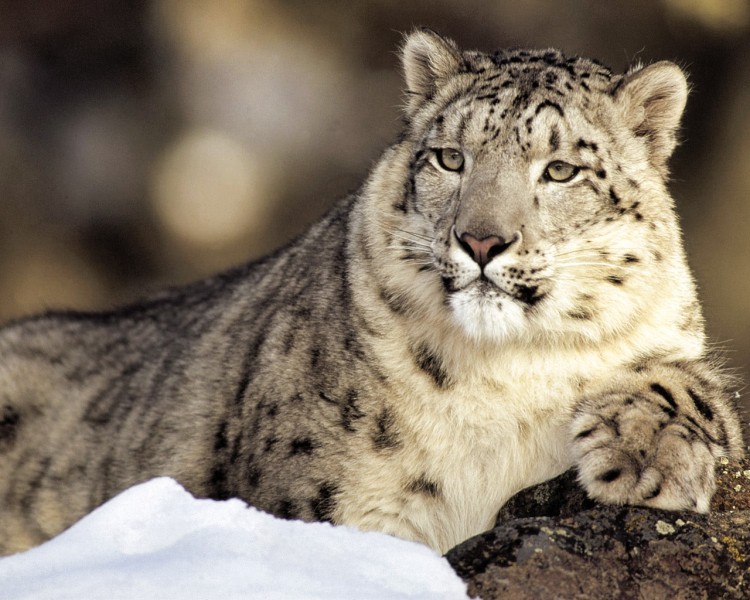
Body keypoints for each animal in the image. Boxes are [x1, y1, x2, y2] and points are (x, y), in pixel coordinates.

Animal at [0, 28, 744, 552]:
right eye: (450, 158)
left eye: (561, 170)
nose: (480, 241)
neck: (510, 372)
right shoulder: (331, 506)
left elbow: (691, 385)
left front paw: (644, 458)